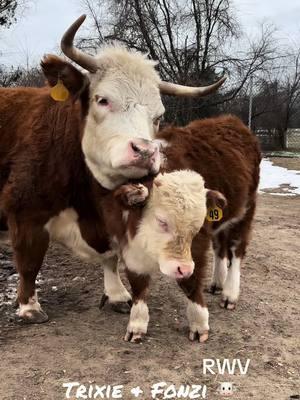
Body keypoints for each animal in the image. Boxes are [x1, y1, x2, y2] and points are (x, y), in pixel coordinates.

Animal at [0, 14, 224, 324]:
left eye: (159, 115)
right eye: (102, 99)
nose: (145, 151)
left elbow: (111, 256)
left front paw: (117, 294)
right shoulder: (24, 211)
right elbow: (29, 261)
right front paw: (29, 306)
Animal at [101, 115, 260, 344]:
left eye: (197, 226)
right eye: (161, 221)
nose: (181, 268)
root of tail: (230, 120)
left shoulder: (196, 248)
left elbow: (191, 281)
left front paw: (199, 324)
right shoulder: (129, 247)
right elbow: (138, 285)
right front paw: (137, 325)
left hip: (246, 211)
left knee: (236, 250)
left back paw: (230, 292)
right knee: (220, 247)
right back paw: (217, 283)